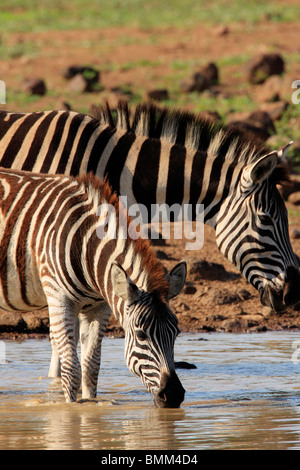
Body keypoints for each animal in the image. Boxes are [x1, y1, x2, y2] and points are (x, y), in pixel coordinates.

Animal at [0, 167, 185, 406]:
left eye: (177, 333)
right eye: (141, 335)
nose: (174, 395)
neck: (86, 247)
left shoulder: (99, 307)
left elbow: (91, 367)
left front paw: (90, 406)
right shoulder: (59, 299)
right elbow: (72, 370)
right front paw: (70, 409)